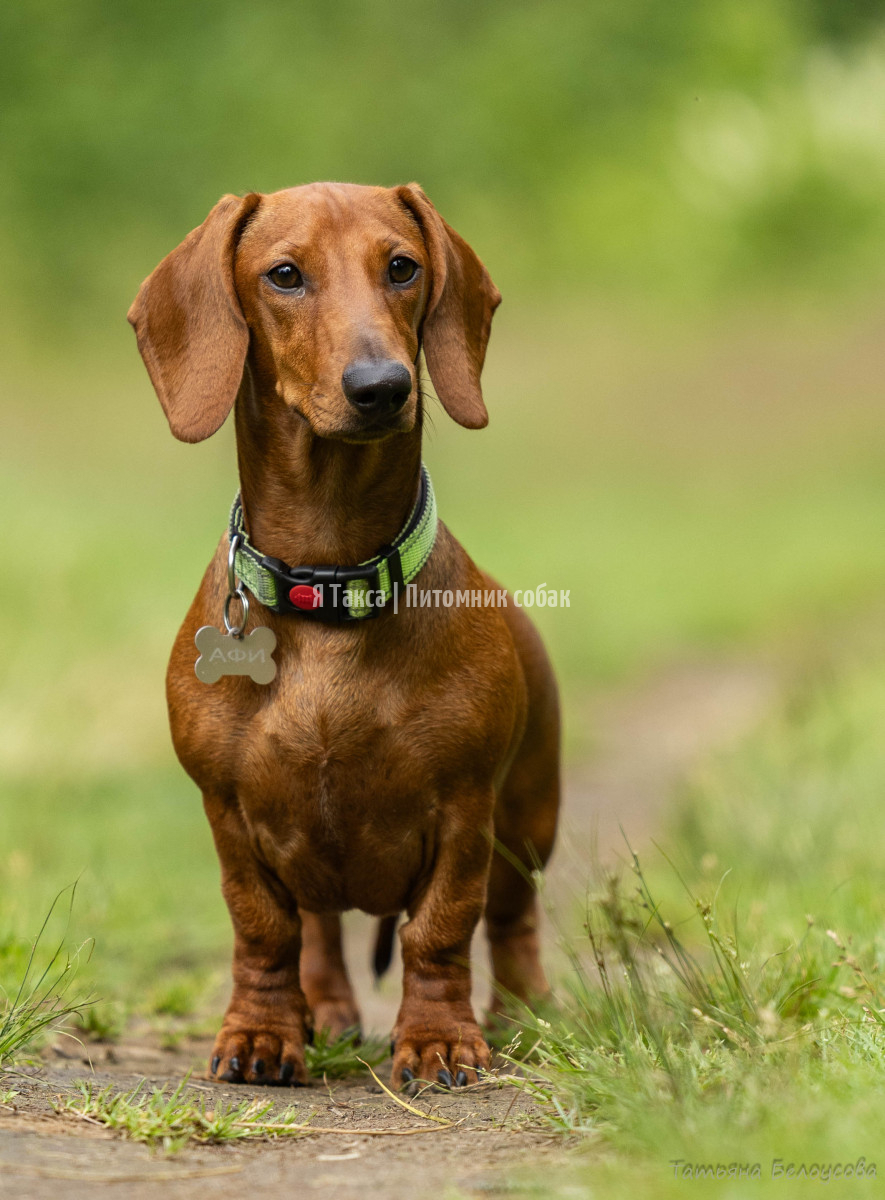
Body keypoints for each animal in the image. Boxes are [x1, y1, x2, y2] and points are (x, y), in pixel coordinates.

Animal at [128, 182, 560, 1089]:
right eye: (284, 275)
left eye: (402, 266)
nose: (381, 387)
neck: (330, 585)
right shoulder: (229, 811)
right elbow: (263, 930)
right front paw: (262, 1035)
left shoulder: (465, 809)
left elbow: (440, 929)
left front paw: (439, 1040)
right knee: (319, 933)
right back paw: (319, 1011)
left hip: (528, 818)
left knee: (513, 920)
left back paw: (522, 1013)